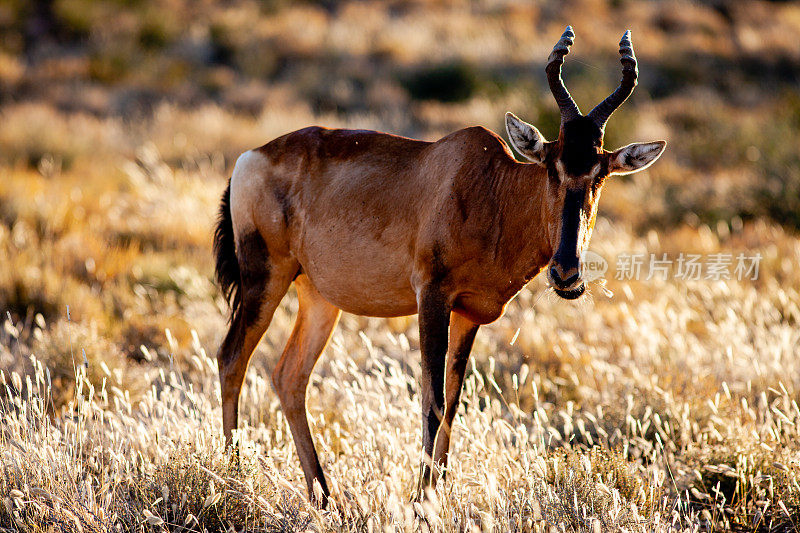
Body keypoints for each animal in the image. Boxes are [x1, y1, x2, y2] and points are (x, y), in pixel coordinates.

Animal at [214, 27, 668, 504]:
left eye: (601, 172)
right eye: (552, 165)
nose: (567, 274)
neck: (490, 186)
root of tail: (250, 156)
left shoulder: (468, 313)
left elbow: (452, 401)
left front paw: (436, 497)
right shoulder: (431, 297)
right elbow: (431, 401)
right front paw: (419, 503)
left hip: (318, 297)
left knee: (289, 377)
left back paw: (324, 497)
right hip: (265, 277)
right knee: (232, 359)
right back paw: (234, 474)